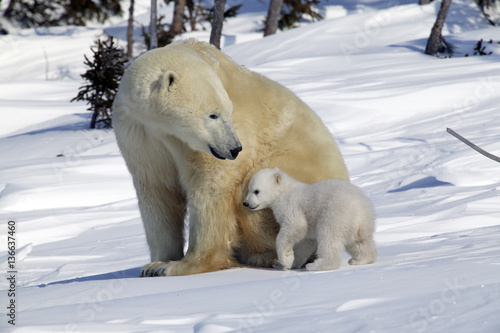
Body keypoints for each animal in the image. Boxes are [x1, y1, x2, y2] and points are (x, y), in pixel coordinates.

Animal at [113, 39, 350, 276]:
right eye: (213, 114)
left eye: (228, 112)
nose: (235, 149)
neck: (166, 131)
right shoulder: (141, 134)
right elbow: (158, 191)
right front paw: (156, 264)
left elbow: (211, 189)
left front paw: (181, 265)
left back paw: (265, 256)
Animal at [242, 167, 376, 272]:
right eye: (249, 189)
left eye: (256, 191)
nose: (245, 203)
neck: (284, 191)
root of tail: (362, 212)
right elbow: (305, 242)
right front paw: (287, 263)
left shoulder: (292, 205)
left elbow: (296, 226)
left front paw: (285, 258)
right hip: (354, 226)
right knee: (359, 243)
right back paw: (360, 259)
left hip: (335, 214)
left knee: (328, 236)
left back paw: (316, 265)